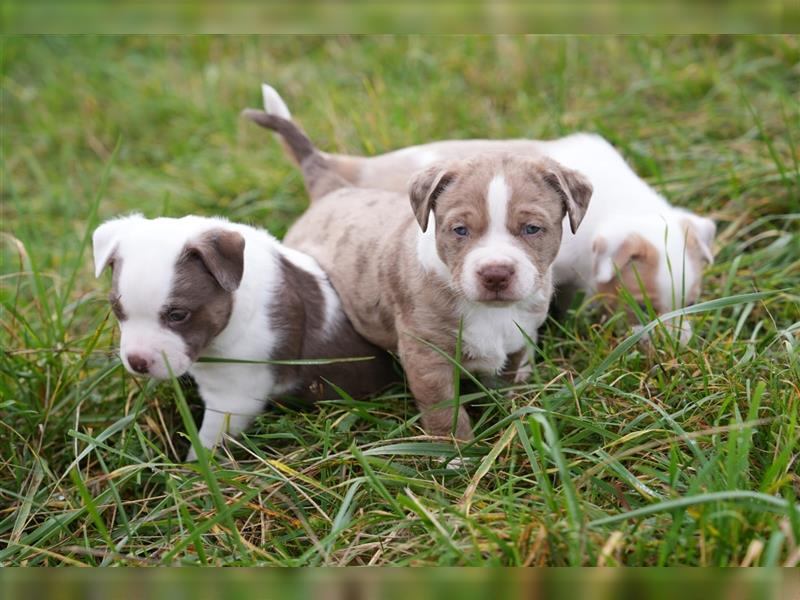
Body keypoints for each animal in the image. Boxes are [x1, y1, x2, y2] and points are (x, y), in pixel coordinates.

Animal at [93, 216, 394, 460]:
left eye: (178, 315)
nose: (137, 362)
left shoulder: (233, 398)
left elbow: (208, 444)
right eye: (116, 309)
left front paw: (194, 474)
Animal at [244, 113, 592, 440]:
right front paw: (456, 452)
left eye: (532, 228)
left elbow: (507, 379)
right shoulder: (426, 356)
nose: (495, 273)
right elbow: (445, 411)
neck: (490, 311)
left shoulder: (519, 337)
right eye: (460, 230)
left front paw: (511, 413)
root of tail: (332, 188)